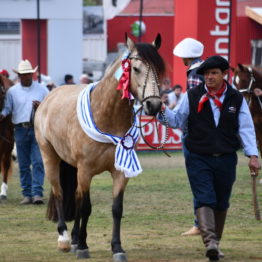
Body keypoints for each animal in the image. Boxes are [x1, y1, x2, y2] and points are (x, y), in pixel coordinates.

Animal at [34, 33, 166, 260]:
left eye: (158, 69)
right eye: (136, 69)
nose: (154, 105)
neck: (106, 117)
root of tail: (48, 98)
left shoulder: (120, 171)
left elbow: (116, 208)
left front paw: (117, 248)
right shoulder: (86, 171)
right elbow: (86, 207)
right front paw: (83, 246)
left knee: (75, 197)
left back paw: (74, 239)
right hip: (50, 157)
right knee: (59, 192)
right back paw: (65, 239)